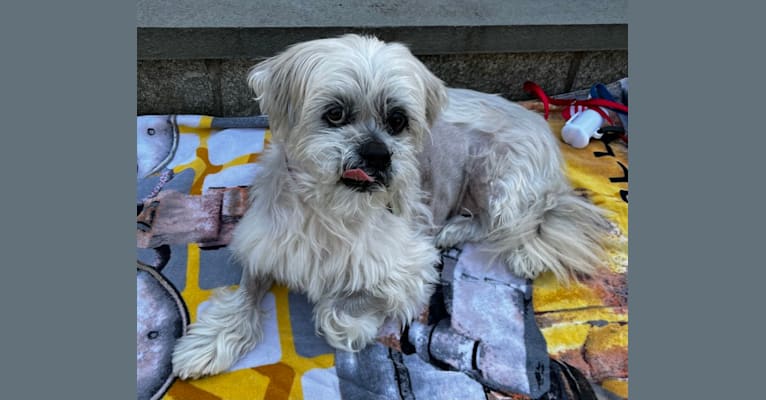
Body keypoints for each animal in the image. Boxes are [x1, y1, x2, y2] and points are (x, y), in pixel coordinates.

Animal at [171, 33, 608, 378]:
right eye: (334, 114)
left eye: (397, 121)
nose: (378, 153)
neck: (329, 208)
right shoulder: (264, 248)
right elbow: (243, 296)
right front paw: (211, 342)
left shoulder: (410, 265)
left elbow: (345, 305)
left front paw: (349, 319)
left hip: (498, 175)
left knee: (510, 224)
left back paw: (472, 235)